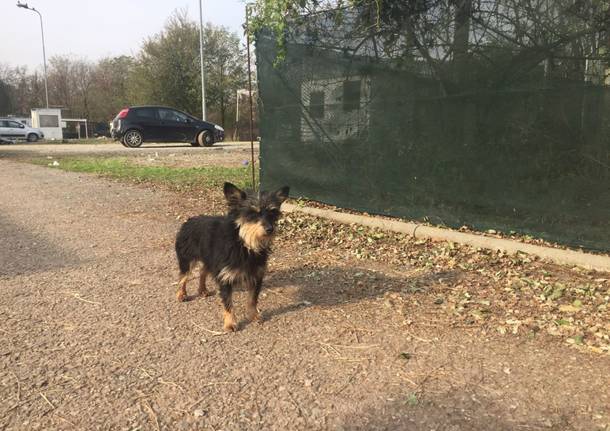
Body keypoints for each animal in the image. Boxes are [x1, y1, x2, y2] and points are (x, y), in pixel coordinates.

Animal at [175, 181, 288, 330]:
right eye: (252, 213)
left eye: (273, 213)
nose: (270, 229)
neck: (243, 243)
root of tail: (189, 220)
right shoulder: (225, 276)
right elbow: (228, 302)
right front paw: (230, 323)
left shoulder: (256, 276)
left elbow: (252, 300)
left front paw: (253, 316)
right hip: (187, 259)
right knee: (183, 277)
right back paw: (181, 294)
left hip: (209, 260)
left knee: (202, 271)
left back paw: (203, 289)